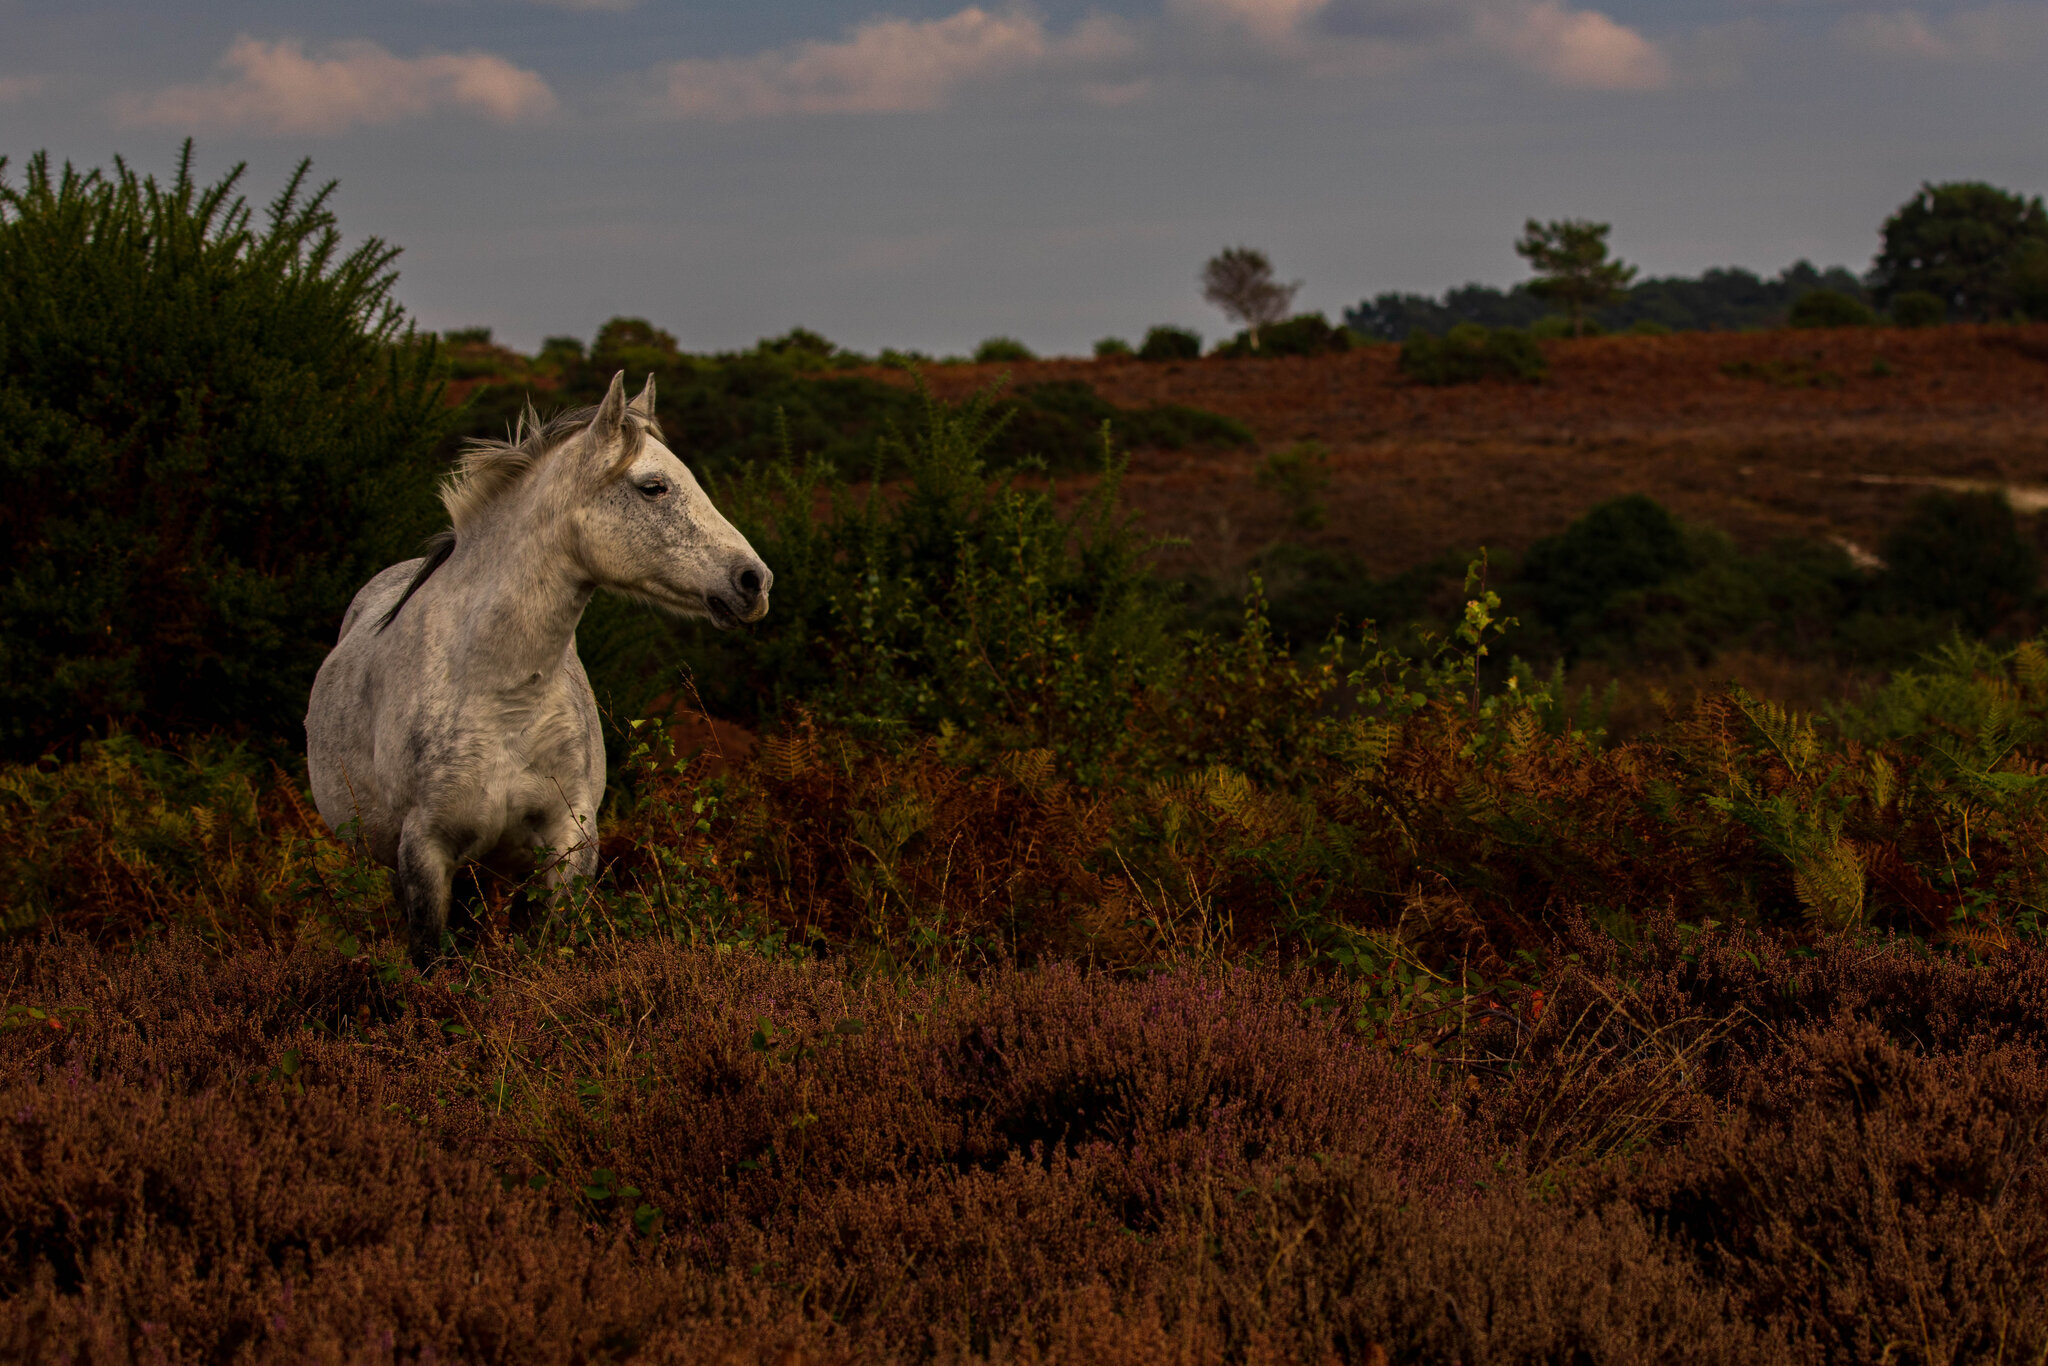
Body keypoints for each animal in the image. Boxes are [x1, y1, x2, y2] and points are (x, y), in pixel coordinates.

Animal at [307, 374, 770, 966]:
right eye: (653, 487)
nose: (754, 581)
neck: (499, 694)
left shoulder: (568, 845)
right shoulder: (424, 854)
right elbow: (432, 959)